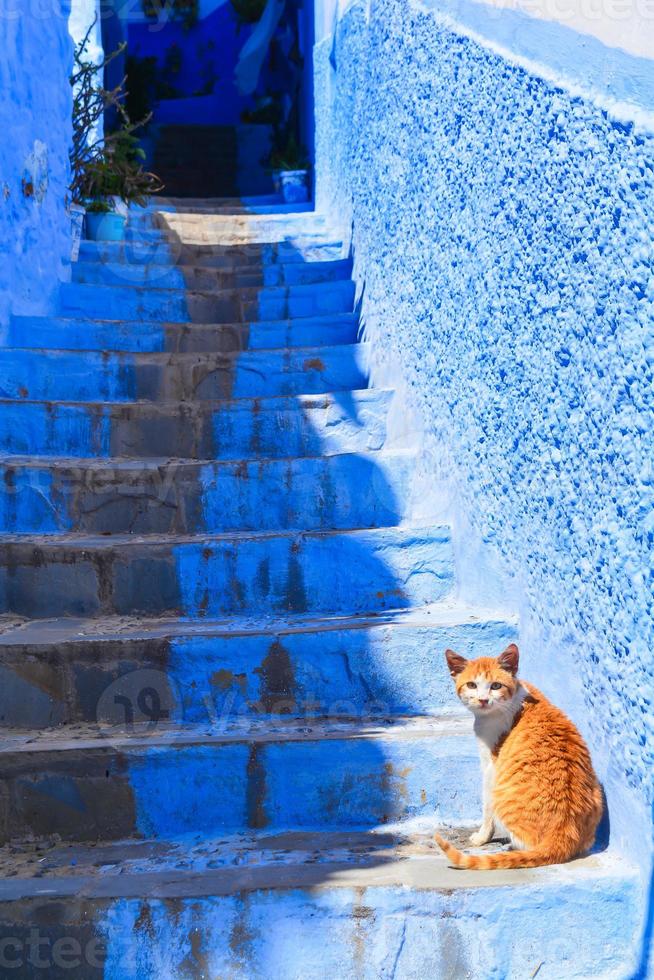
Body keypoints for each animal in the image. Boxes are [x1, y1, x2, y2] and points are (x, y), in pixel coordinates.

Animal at [434, 648, 608, 868]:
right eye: (472, 685)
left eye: (496, 686)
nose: (483, 700)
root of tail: (562, 834)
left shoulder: (490, 768)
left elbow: (486, 809)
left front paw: (482, 837)